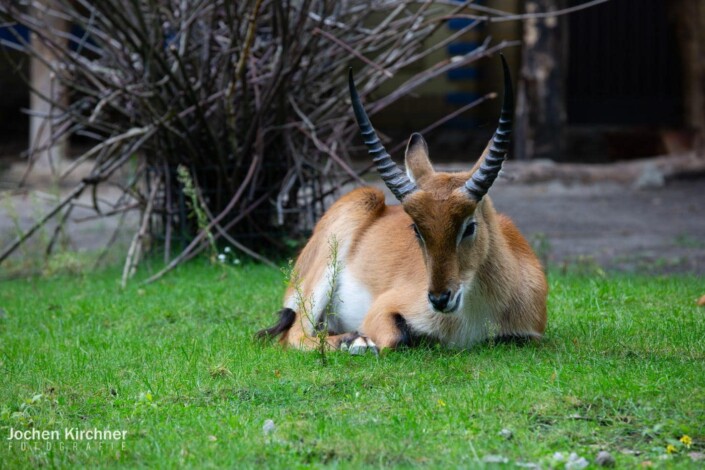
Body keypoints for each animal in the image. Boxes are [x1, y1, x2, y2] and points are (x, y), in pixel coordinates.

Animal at [256, 55, 548, 352]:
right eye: (416, 229)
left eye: (469, 226)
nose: (439, 298)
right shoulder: (381, 312)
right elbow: (397, 338)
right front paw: (363, 340)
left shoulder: (528, 337)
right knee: (293, 335)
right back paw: (354, 341)